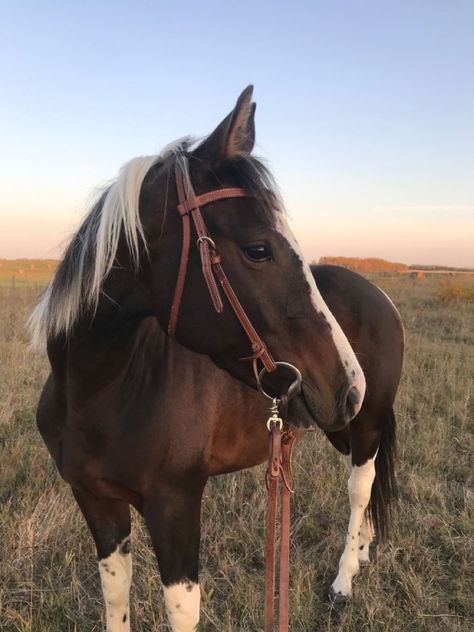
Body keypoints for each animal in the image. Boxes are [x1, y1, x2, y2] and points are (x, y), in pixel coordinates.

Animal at [29, 89, 402, 632]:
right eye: (258, 249)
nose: (350, 383)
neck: (100, 390)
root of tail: (380, 295)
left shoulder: (176, 506)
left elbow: (181, 610)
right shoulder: (96, 502)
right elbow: (115, 595)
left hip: (366, 424)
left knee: (361, 487)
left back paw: (344, 580)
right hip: (344, 427)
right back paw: (363, 551)